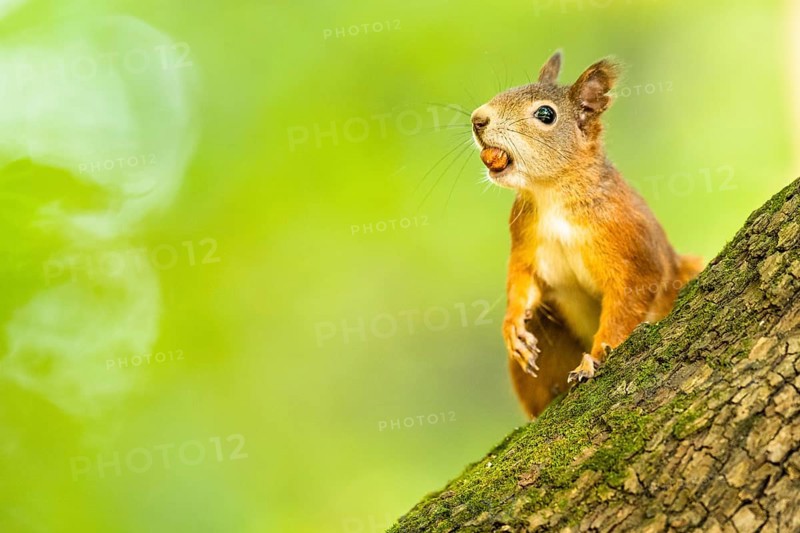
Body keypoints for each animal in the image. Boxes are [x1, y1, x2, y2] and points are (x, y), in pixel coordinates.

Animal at [470, 51, 703, 418]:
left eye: (546, 114)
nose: (478, 119)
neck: (551, 194)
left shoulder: (631, 244)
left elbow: (627, 301)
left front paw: (594, 358)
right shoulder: (525, 239)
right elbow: (523, 280)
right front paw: (512, 325)